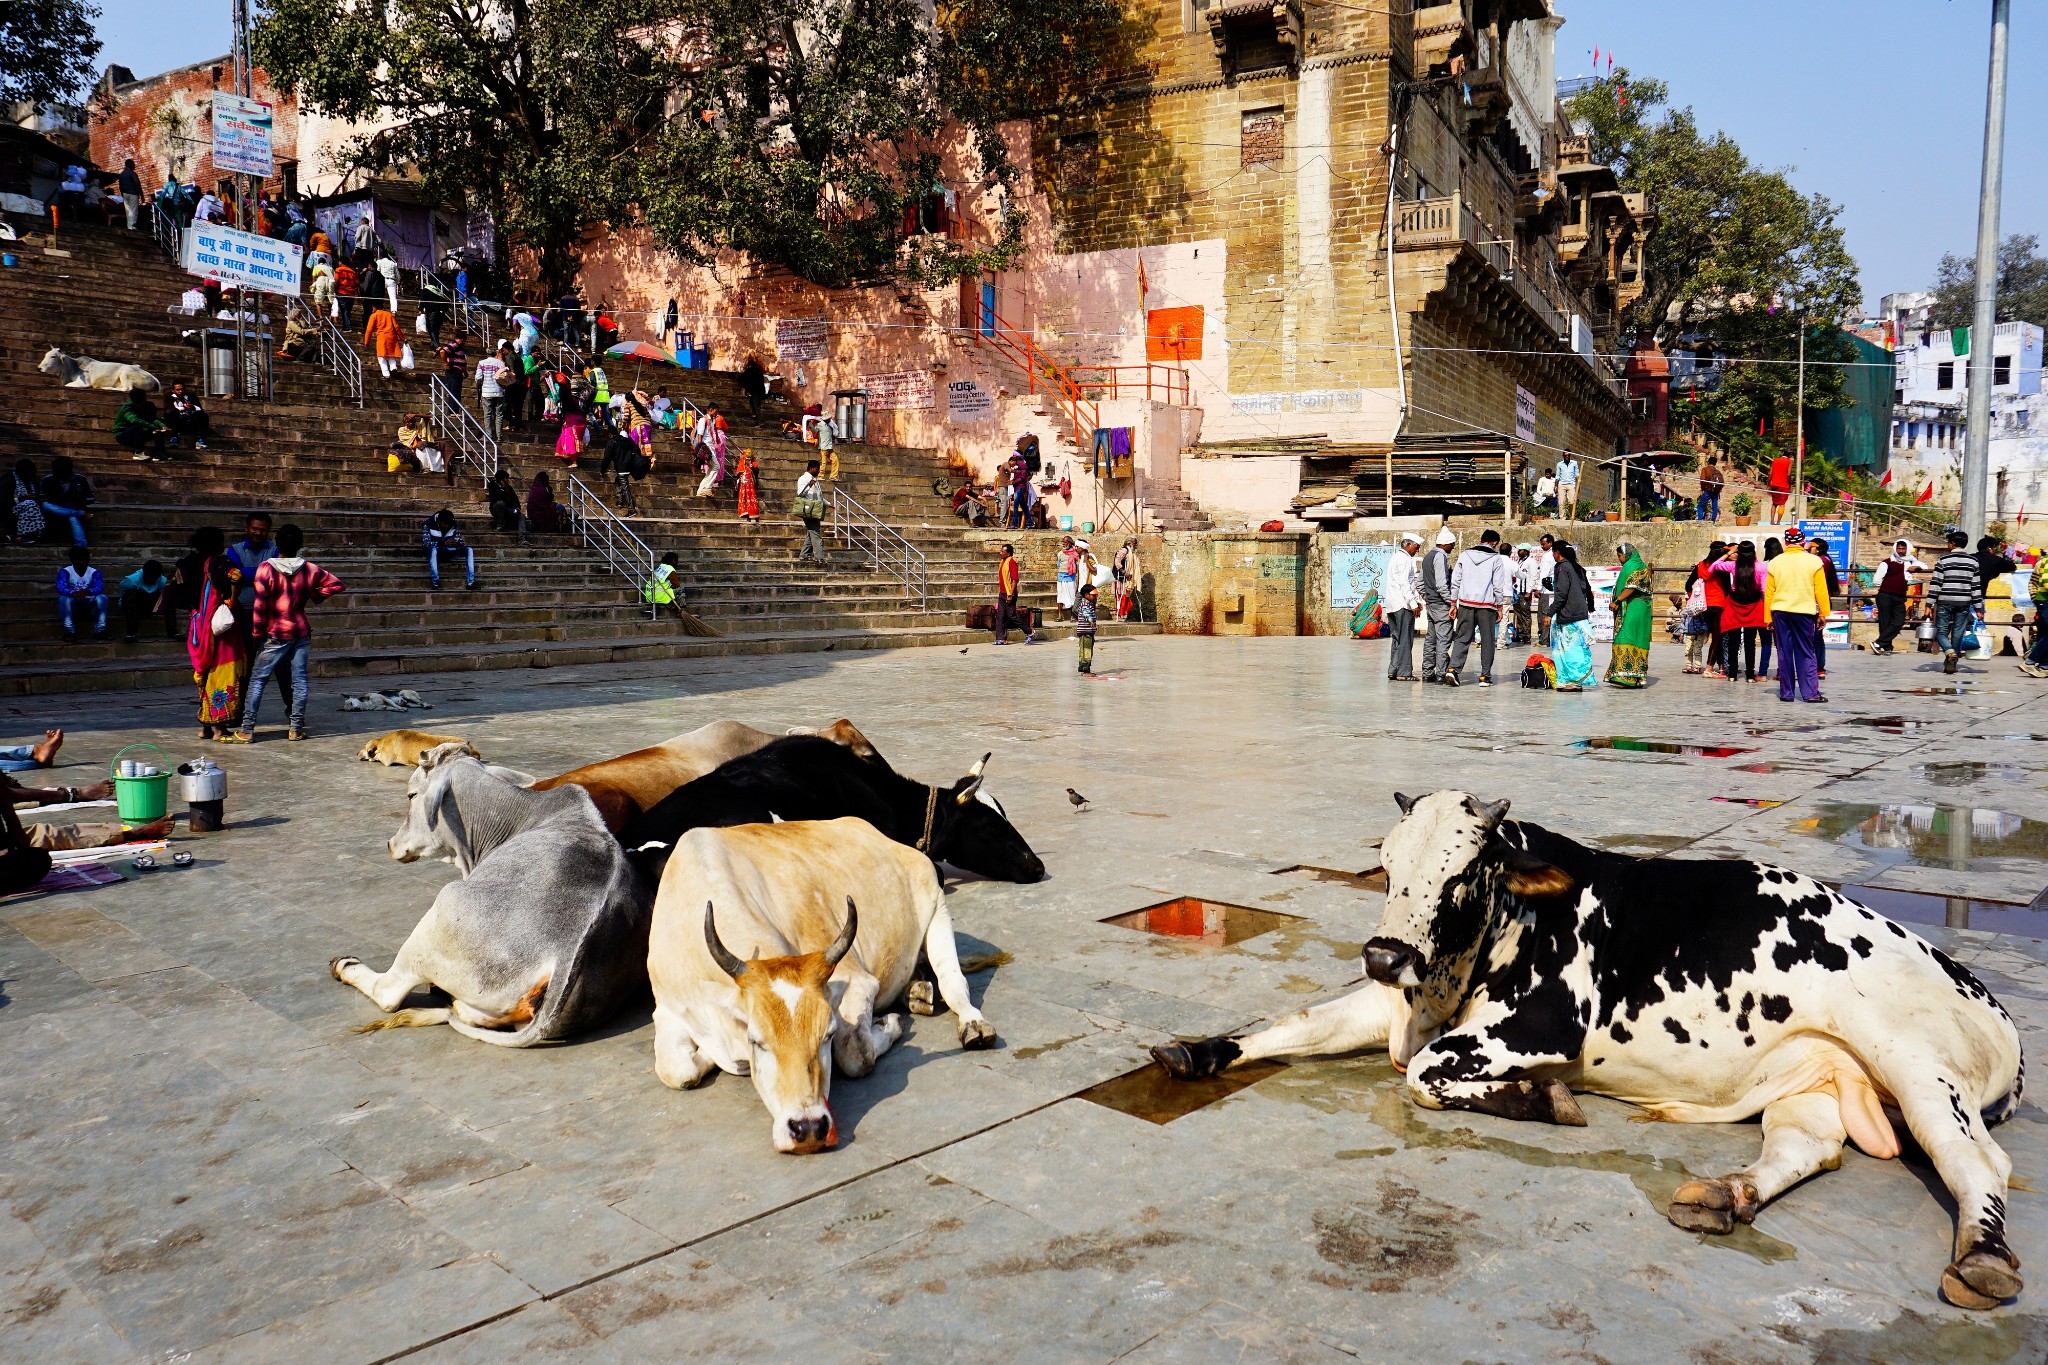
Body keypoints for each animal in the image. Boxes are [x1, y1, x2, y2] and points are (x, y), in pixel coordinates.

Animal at [331, 757, 647, 1047]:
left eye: (411, 795)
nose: (390, 843)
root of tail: (569, 947)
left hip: (442, 909)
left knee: (388, 992)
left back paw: (345, 966)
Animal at [638, 822, 991, 1154]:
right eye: (757, 1041)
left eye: (828, 1035)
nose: (808, 1127)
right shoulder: (666, 1011)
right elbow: (678, 1071)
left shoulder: (856, 982)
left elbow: (857, 1054)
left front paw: (888, 1024)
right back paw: (916, 991)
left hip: (938, 908)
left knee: (953, 983)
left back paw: (973, 1024)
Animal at [1155, 794, 2031, 1317]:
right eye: (1390, 865)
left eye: (1464, 874)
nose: (1382, 953)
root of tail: (1995, 1007)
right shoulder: (1394, 1004)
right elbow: (1291, 1021)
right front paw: (1195, 1050)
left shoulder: (1543, 1025)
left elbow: (1426, 1072)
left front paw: (1542, 1098)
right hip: (1811, 1076)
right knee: (1808, 1146)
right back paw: (1723, 1194)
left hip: (1916, 1064)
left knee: (1976, 1163)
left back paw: (1984, 1257)